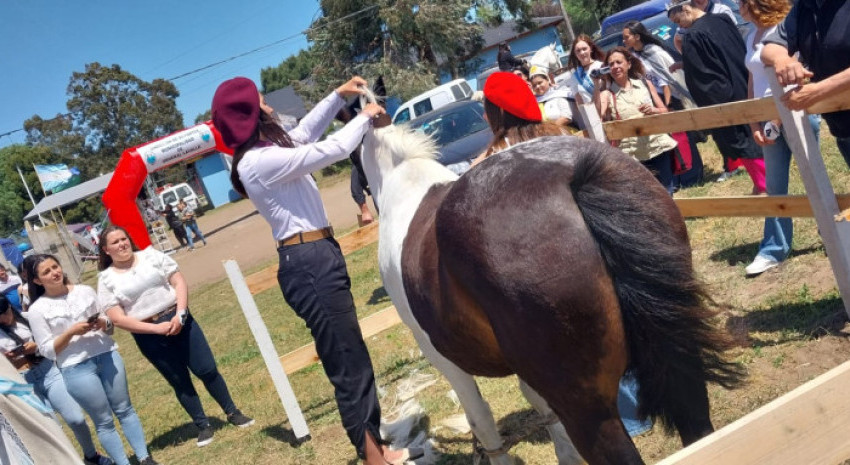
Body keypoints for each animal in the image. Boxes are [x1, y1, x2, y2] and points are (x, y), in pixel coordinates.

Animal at [358, 116, 744, 460]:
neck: (404, 181)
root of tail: (570, 178)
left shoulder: (442, 357)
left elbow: (480, 418)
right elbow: (541, 406)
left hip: (591, 411)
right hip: (678, 361)